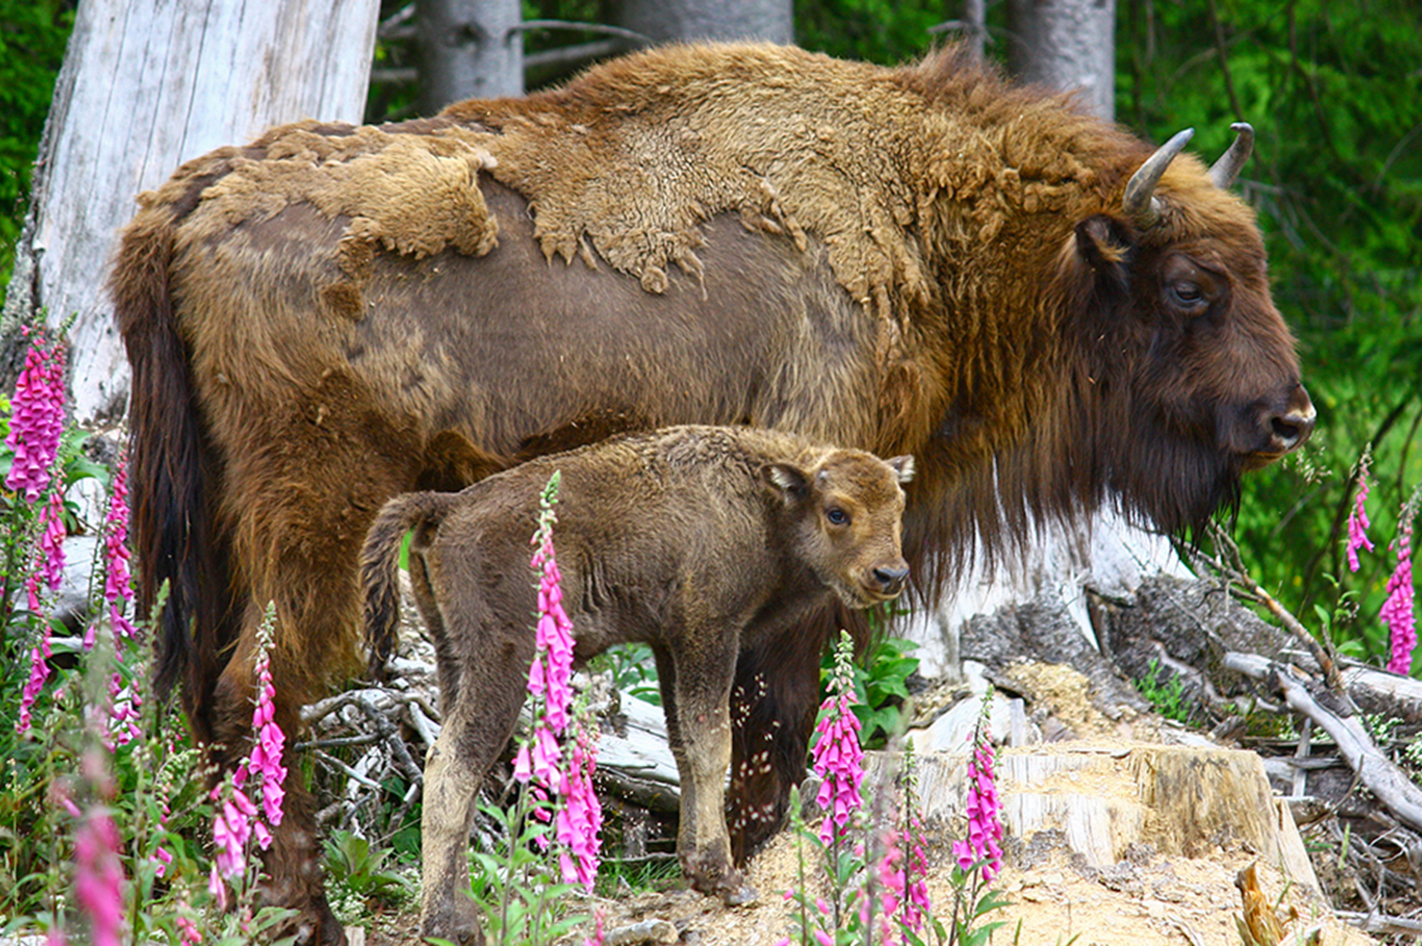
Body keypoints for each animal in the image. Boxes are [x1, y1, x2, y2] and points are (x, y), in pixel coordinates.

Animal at [358, 423, 910, 938]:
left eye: (899, 507)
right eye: (837, 512)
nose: (891, 574)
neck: (764, 500)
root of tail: (447, 507)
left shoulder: (669, 646)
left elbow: (683, 746)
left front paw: (697, 870)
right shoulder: (709, 632)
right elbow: (713, 745)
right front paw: (725, 879)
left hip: (453, 659)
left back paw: (462, 918)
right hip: (502, 665)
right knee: (451, 767)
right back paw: (444, 923)